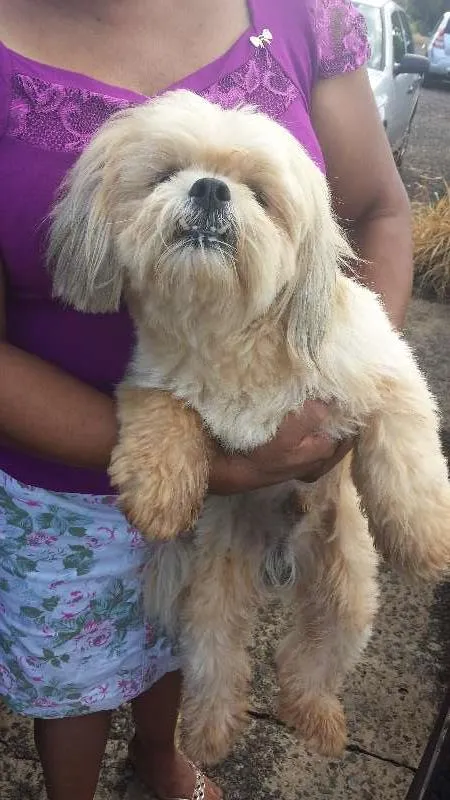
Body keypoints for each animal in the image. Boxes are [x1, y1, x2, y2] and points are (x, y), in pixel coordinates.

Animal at [47, 90, 450, 764]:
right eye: (165, 174)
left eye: (259, 193)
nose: (210, 189)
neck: (228, 330)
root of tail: (280, 560)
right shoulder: (150, 380)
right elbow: (165, 413)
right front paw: (159, 495)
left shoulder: (385, 374)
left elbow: (406, 454)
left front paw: (424, 539)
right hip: (211, 594)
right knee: (219, 661)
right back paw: (210, 730)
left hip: (348, 592)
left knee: (312, 657)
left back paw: (315, 716)